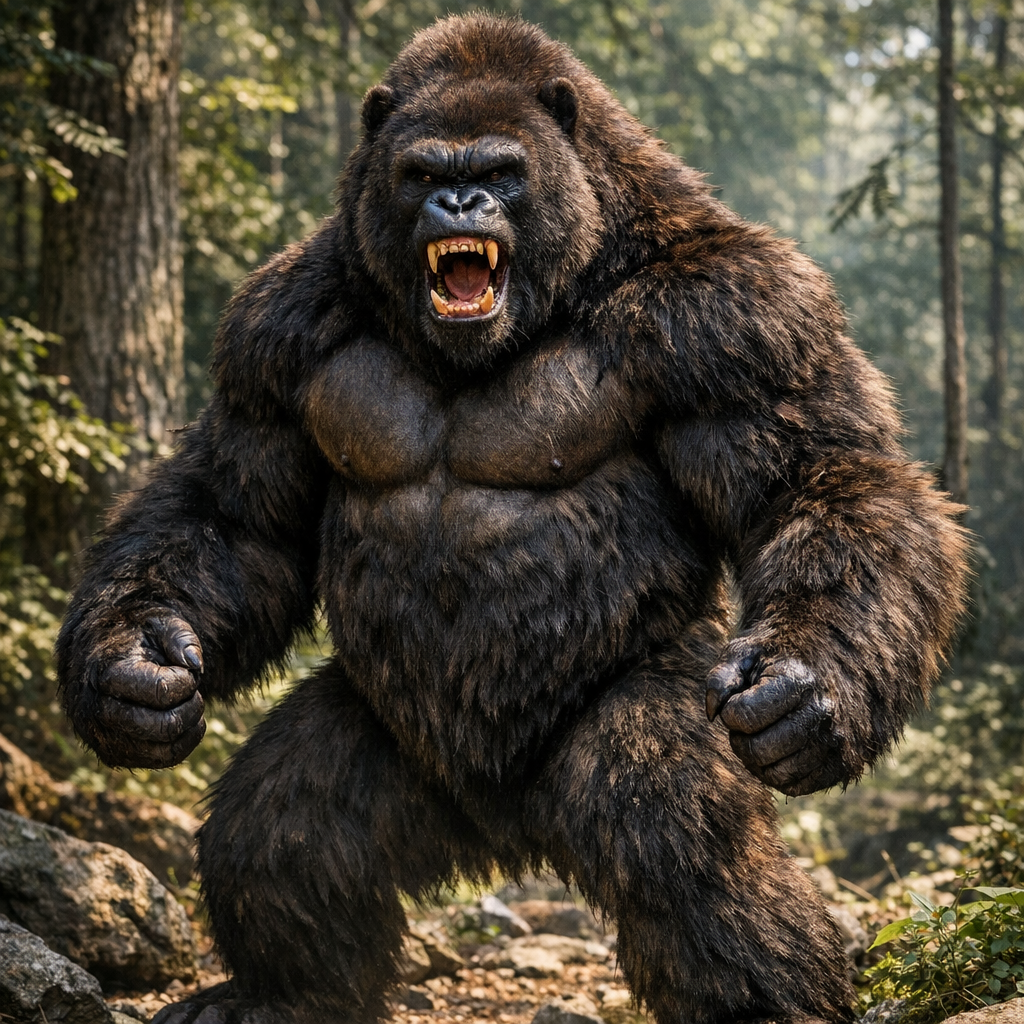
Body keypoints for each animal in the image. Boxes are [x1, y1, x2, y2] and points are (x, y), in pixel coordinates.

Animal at [56, 14, 968, 1024]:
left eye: (499, 169)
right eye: (421, 171)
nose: (458, 201)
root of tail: (505, 837)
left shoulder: (739, 312)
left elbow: (819, 482)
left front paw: (808, 688)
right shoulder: (274, 324)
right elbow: (235, 516)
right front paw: (132, 668)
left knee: (670, 827)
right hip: (395, 746)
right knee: (287, 823)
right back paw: (279, 992)